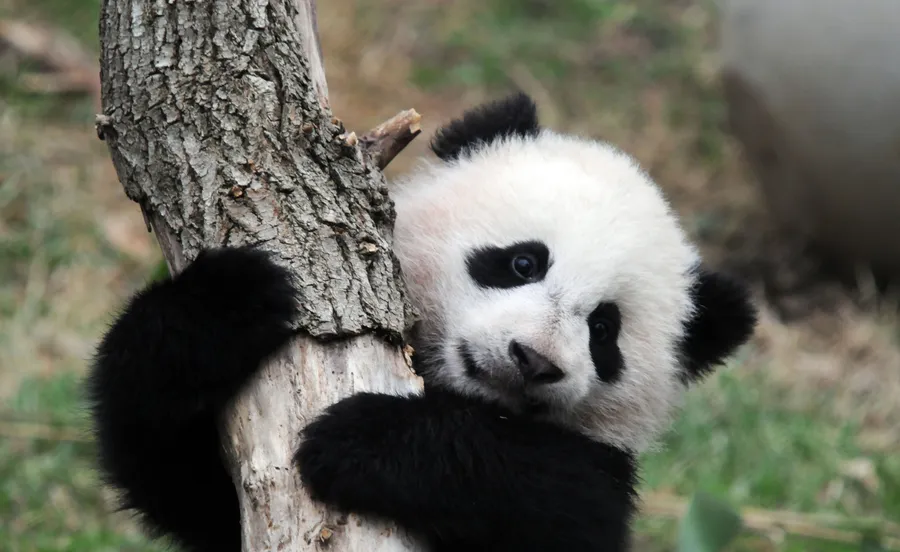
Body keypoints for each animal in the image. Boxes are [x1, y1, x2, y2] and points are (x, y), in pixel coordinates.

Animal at [87, 92, 757, 552]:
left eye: (603, 331)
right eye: (523, 261)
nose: (532, 360)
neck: (454, 391)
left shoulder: (597, 474)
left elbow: (553, 495)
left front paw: (365, 439)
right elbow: (179, 478)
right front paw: (230, 301)